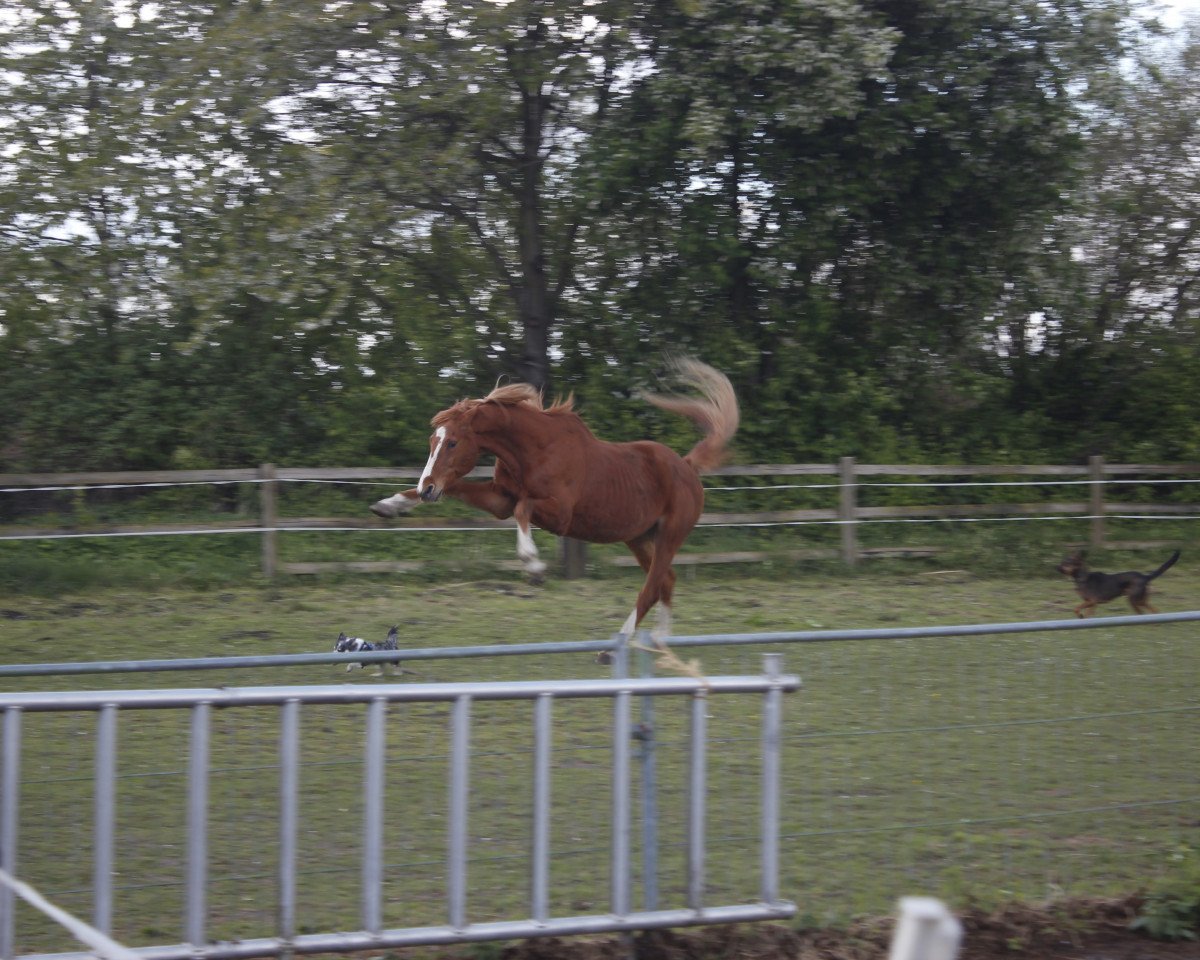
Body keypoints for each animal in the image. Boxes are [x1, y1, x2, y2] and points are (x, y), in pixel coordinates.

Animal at [369, 357, 739, 644]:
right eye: (433, 440)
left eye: (453, 443)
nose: (427, 488)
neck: (534, 449)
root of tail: (687, 466)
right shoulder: (500, 500)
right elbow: (462, 489)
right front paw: (389, 505)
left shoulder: (559, 515)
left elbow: (523, 508)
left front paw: (533, 565)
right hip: (639, 538)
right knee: (666, 581)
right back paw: (661, 643)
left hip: (670, 536)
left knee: (650, 589)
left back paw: (616, 645)